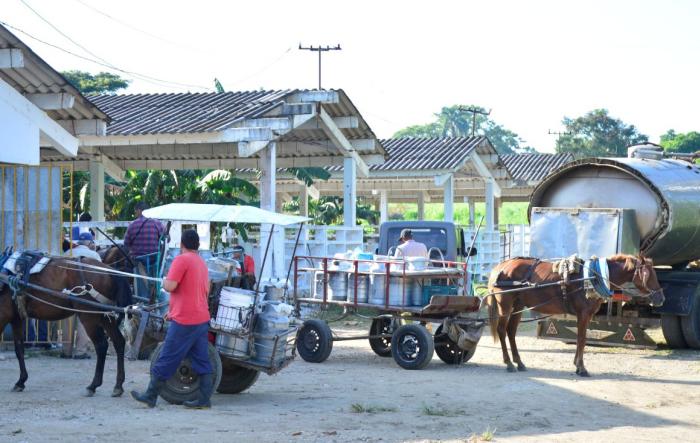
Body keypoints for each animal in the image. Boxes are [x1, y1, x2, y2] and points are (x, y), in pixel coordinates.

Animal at [0, 258, 133, 398]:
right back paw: (118, 385)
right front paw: (21, 381)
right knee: (119, 342)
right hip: (105, 316)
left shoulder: (4, 315)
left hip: (89, 316)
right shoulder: (16, 318)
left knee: (101, 345)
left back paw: (93, 385)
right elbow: (19, 350)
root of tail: (109, 271)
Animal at [484, 255, 664, 376]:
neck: (594, 276)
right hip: (505, 305)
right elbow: (582, 339)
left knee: (511, 331)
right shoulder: (583, 314)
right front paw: (581, 368)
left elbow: (580, 339)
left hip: (518, 305)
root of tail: (501, 266)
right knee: (502, 330)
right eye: (649, 275)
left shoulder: (585, 315)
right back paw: (508, 363)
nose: (661, 298)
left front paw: (577, 365)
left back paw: (519, 362)